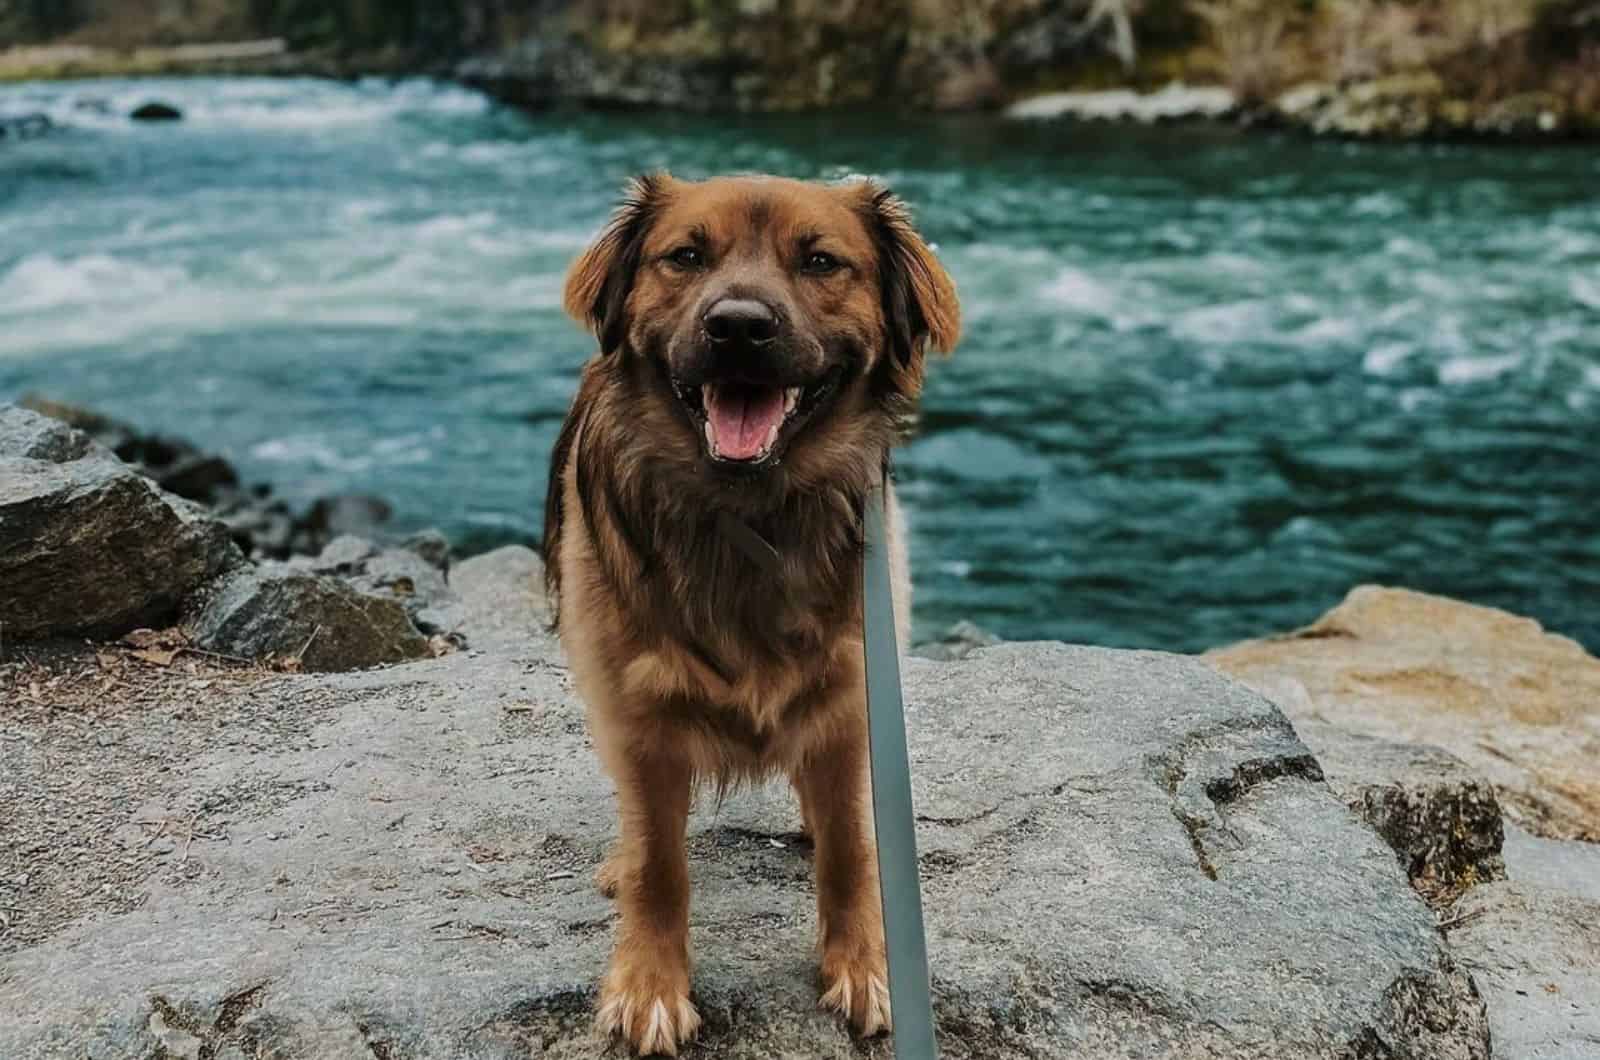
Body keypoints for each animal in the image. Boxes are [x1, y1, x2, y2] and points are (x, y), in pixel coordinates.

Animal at [544, 172, 953, 1056]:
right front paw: (650, 985)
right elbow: (659, 864)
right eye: (686, 257)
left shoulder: (851, 698)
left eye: (822, 262)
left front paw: (866, 964)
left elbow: (849, 849)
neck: (748, 510)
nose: (737, 327)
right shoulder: (638, 716)